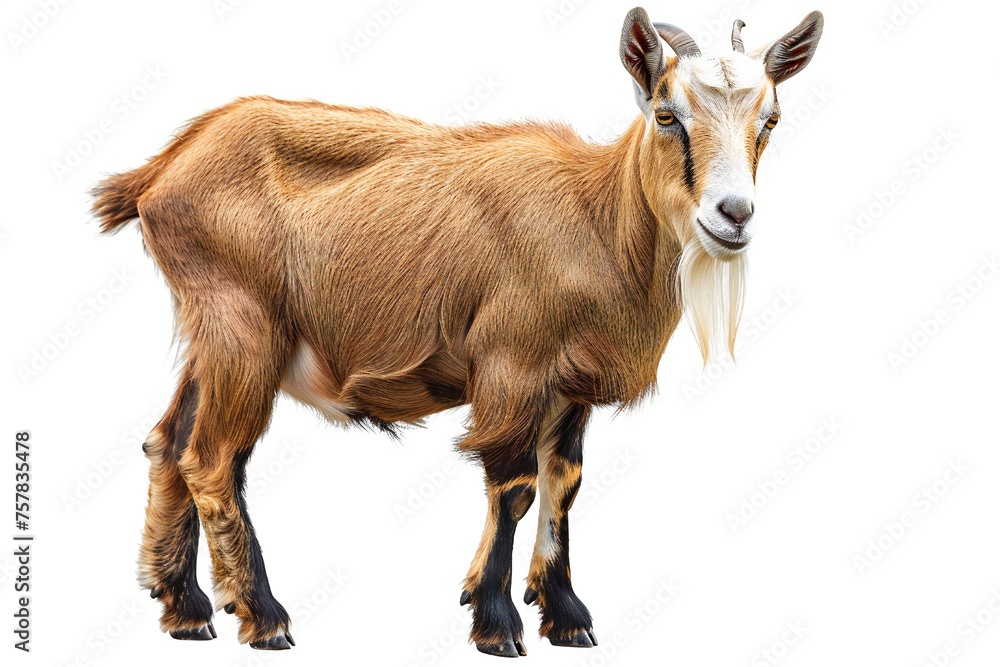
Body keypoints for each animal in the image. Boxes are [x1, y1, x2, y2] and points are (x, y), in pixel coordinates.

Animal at [91, 7, 823, 657]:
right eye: (668, 116)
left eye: (770, 120)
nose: (733, 215)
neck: (597, 219)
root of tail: (162, 171)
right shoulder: (512, 363)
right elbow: (515, 484)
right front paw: (496, 623)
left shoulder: (569, 386)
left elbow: (564, 481)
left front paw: (566, 617)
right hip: (244, 329)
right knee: (212, 457)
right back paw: (264, 618)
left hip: (210, 334)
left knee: (168, 441)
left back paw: (184, 609)